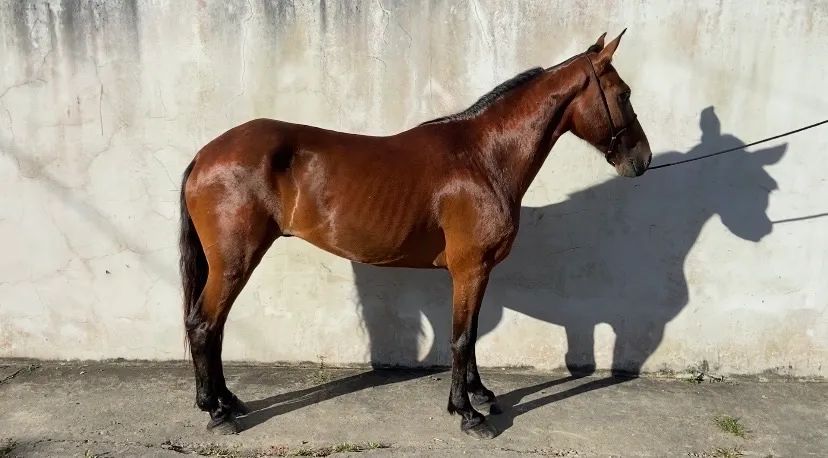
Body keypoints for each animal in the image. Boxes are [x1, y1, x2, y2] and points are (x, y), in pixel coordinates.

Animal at [178, 30, 651, 438]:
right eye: (624, 94)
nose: (642, 159)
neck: (483, 158)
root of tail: (205, 154)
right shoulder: (469, 269)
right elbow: (460, 338)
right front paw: (468, 414)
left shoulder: (478, 272)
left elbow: (470, 334)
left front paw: (481, 394)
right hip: (235, 262)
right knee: (204, 324)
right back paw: (217, 412)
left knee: (214, 326)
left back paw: (228, 401)